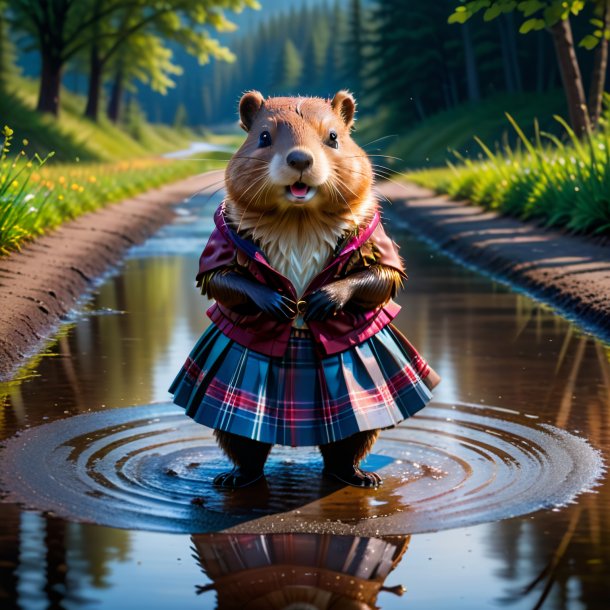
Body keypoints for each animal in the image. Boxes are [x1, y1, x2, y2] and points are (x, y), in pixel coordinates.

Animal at [169, 90, 440, 486]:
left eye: (334, 137)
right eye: (264, 137)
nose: (299, 159)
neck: (299, 220)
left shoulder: (373, 234)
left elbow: (385, 275)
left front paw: (324, 299)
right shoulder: (224, 236)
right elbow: (218, 277)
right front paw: (276, 301)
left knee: (350, 440)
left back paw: (358, 475)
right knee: (242, 442)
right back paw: (238, 477)